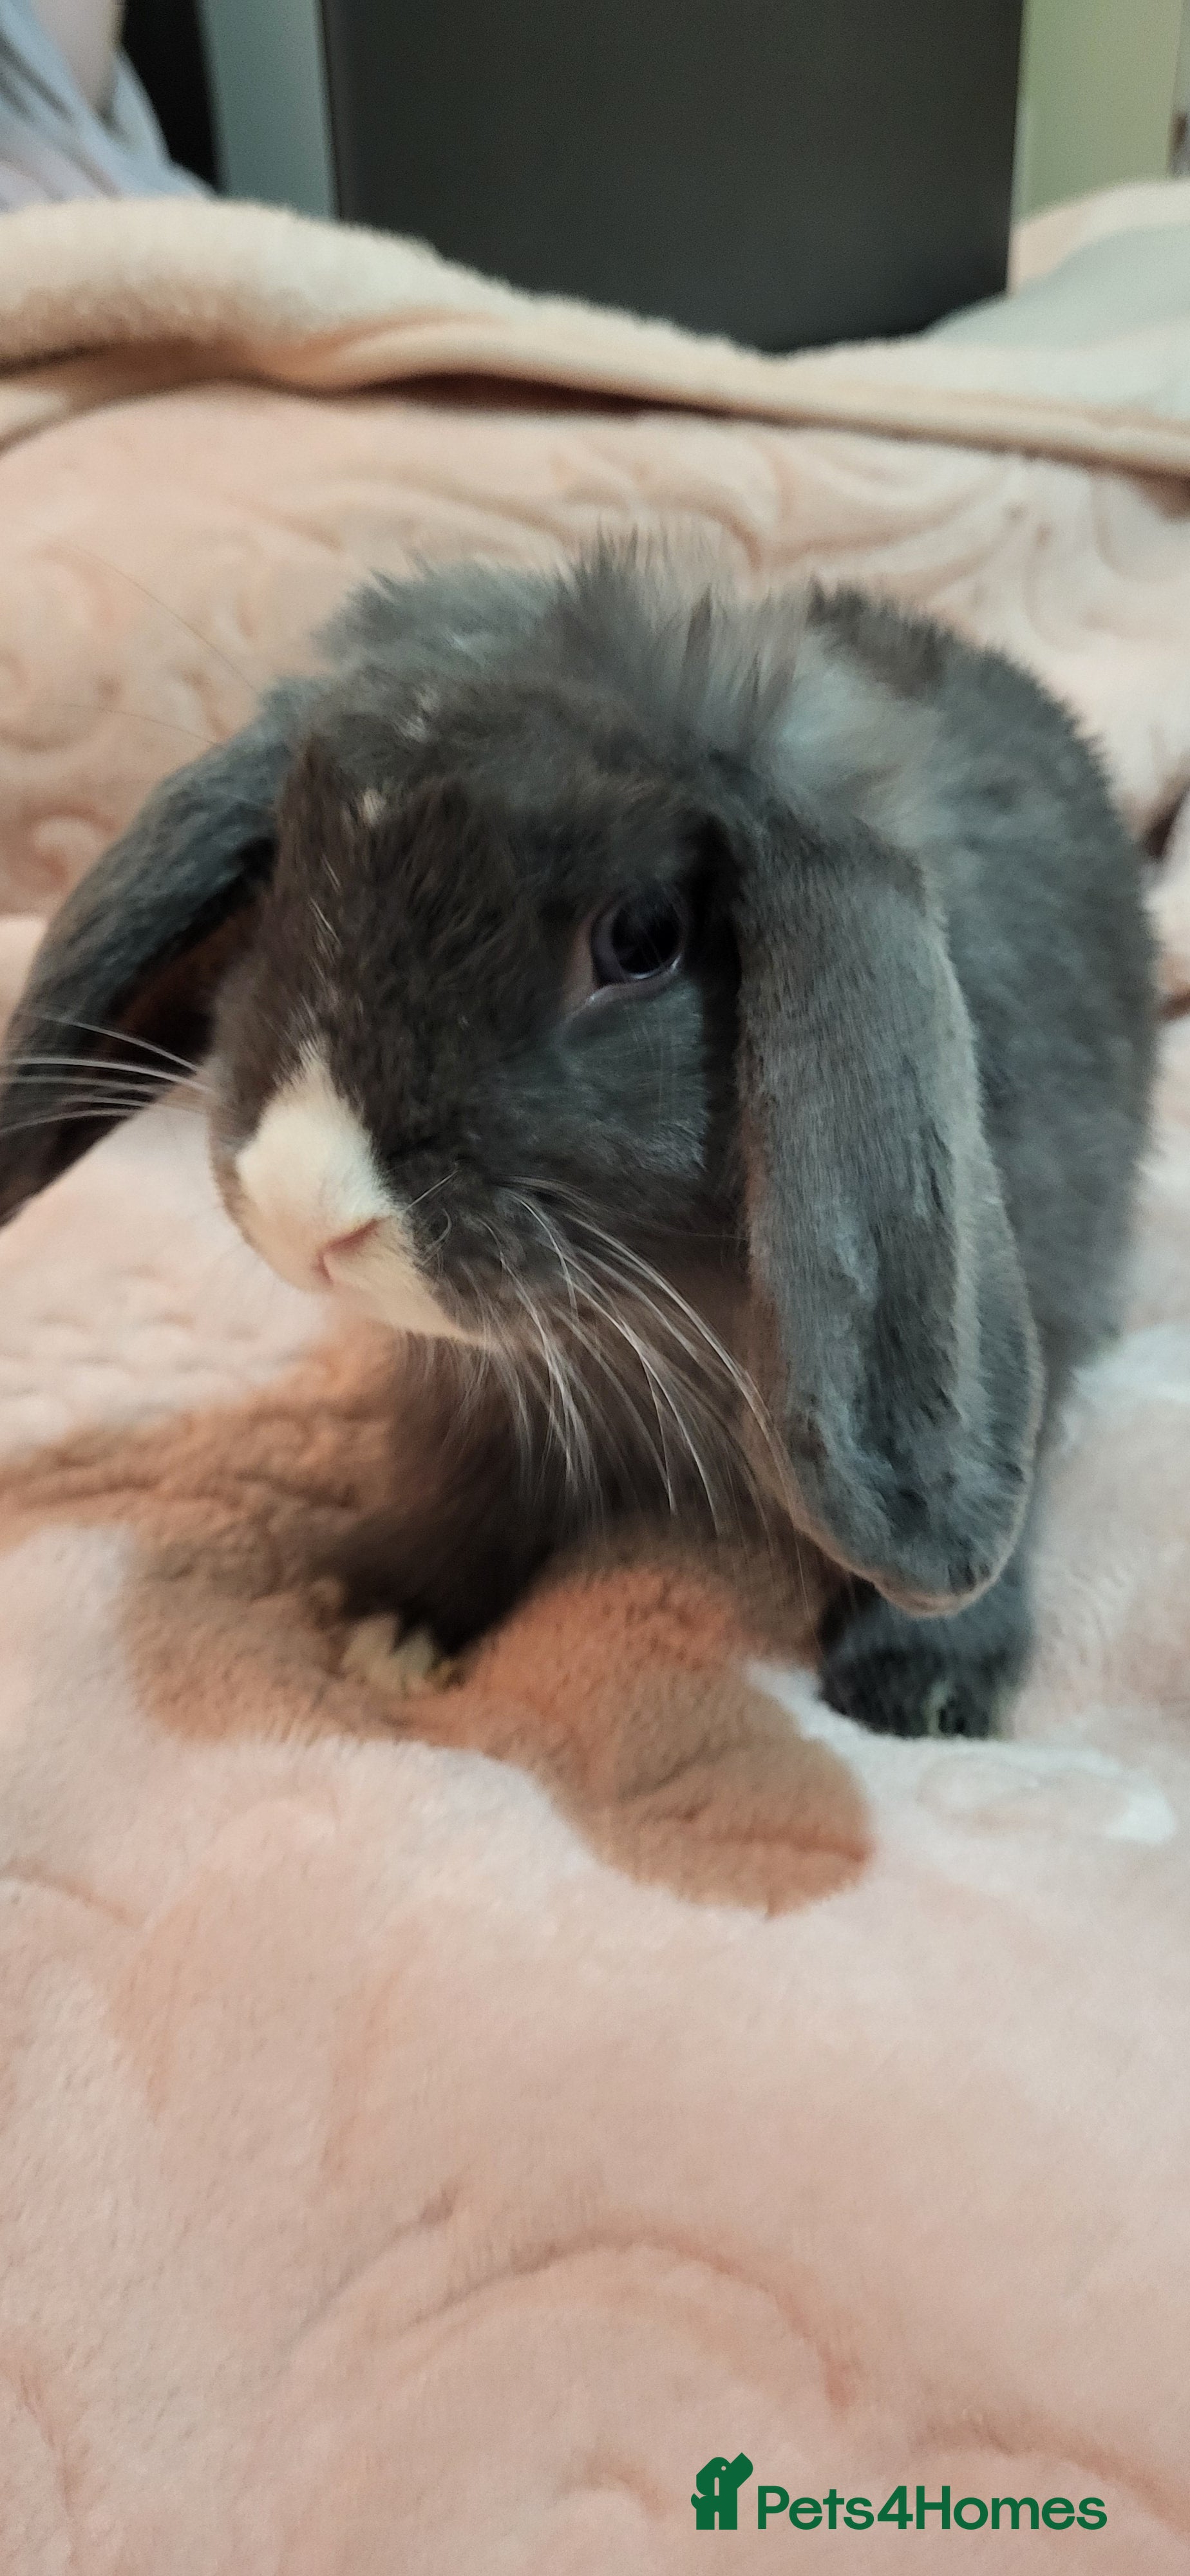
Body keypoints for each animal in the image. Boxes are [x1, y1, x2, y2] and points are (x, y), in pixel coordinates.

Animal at [0, 542, 1157, 1736]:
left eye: (640, 939)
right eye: (285, 876)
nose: (298, 1208)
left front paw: (917, 1690)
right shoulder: (473, 1395)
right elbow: (462, 1474)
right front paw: (387, 1618)